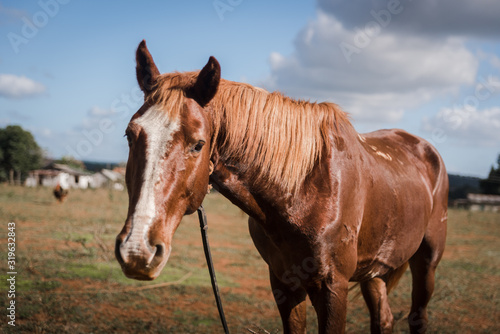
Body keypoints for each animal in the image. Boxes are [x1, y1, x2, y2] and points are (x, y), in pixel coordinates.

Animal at [116, 39, 450, 334]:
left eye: (198, 144)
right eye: (130, 135)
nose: (137, 250)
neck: (304, 190)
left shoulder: (334, 288)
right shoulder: (284, 284)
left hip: (427, 263)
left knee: (418, 316)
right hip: (374, 271)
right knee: (383, 319)